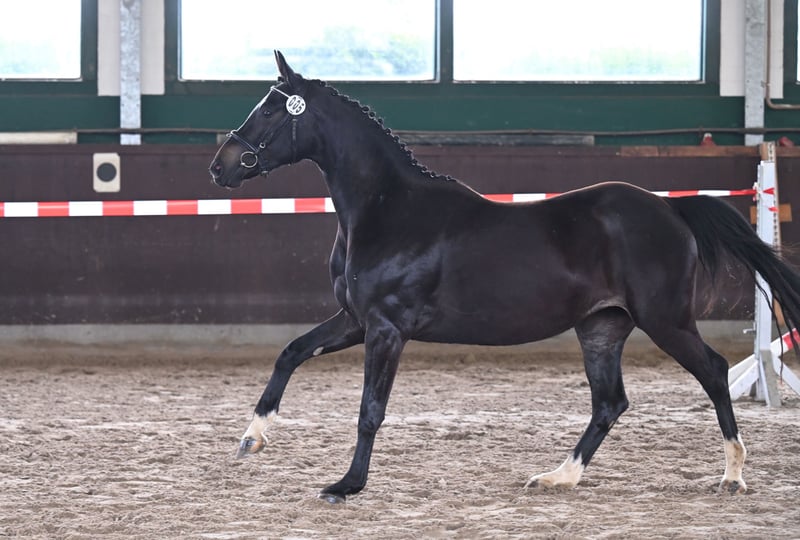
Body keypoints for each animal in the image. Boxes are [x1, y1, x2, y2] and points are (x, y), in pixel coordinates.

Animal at [209, 51, 800, 504]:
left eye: (270, 109)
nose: (221, 166)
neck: (386, 209)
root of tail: (672, 208)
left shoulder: (386, 329)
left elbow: (370, 411)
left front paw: (346, 485)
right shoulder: (355, 320)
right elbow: (290, 352)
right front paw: (252, 437)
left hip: (666, 321)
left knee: (714, 372)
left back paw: (733, 475)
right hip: (602, 328)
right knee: (610, 403)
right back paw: (559, 477)